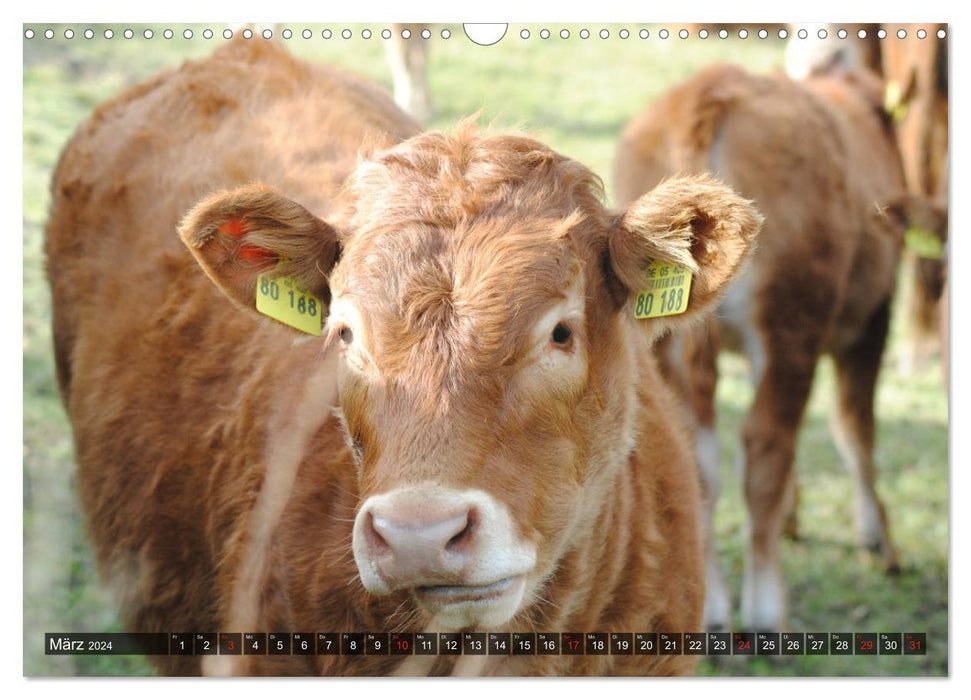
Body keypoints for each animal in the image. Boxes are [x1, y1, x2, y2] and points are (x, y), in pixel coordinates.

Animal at [616, 65, 912, 632]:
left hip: (663, 336)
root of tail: (709, 92)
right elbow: (856, 429)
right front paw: (878, 537)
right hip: (793, 322)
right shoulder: (873, 321)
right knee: (766, 446)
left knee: (698, 452)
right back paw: (764, 605)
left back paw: (709, 600)